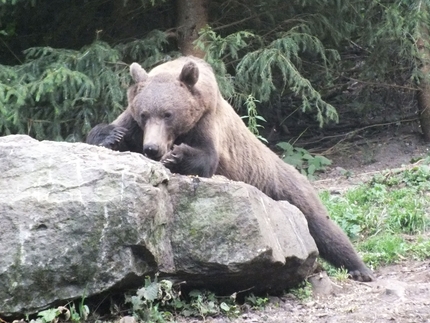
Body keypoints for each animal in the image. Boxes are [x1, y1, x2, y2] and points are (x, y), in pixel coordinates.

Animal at [86, 57, 372, 282]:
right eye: (145, 114)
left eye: (168, 114)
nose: (152, 148)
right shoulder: (133, 125)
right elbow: (106, 134)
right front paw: (110, 136)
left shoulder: (208, 123)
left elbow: (205, 158)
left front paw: (176, 156)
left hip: (283, 185)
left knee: (322, 224)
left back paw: (360, 268)